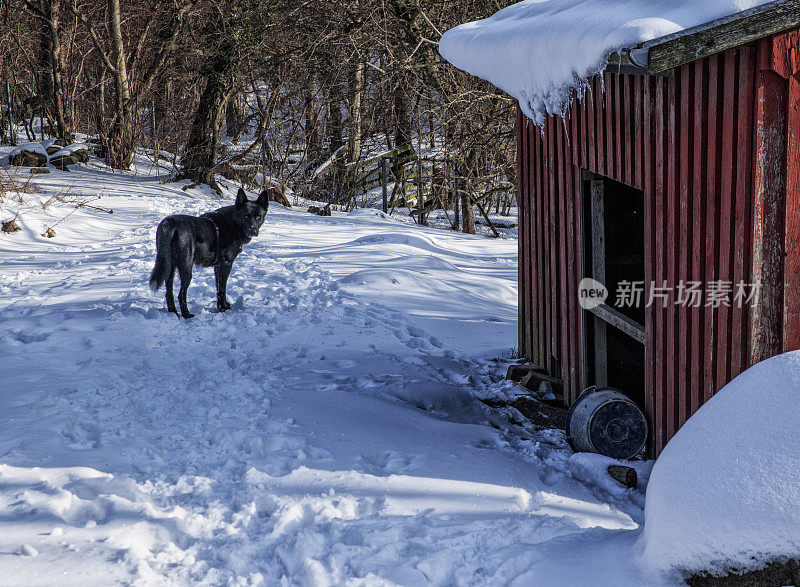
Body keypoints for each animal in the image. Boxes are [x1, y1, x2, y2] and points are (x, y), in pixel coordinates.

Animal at [150, 188, 272, 320]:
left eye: (258, 216)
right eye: (246, 216)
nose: (252, 230)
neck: (233, 223)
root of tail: (171, 225)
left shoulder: (217, 266)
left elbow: (218, 287)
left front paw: (222, 306)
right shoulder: (225, 264)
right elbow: (222, 289)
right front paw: (223, 309)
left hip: (169, 267)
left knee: (169, 293)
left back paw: (174, 313)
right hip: (186, 267)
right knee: (181, 293)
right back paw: (187, 315)